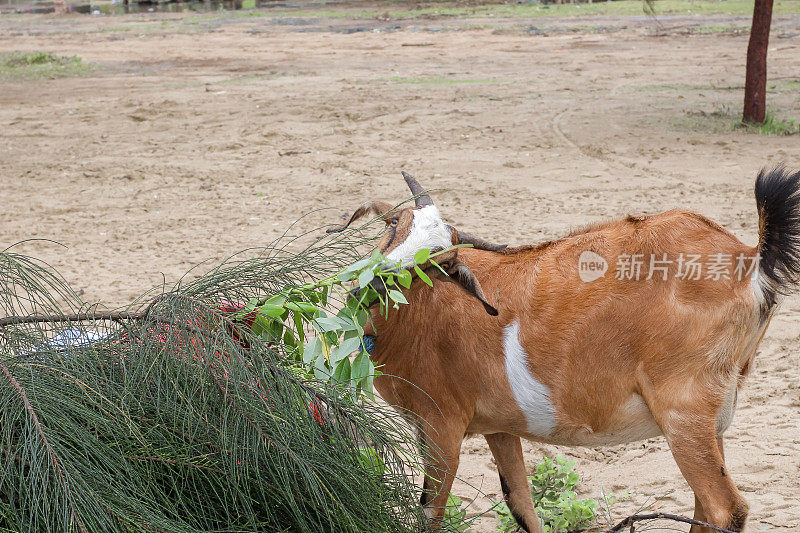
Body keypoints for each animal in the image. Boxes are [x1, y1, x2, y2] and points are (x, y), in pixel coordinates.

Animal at [326, 167, 800, 532]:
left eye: (437, 264)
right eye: (394, 224)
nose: (371, 285)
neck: (416, 318)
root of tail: (749, 259)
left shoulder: (442, 424)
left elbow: (430, 513)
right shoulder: (499, 426)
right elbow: (521, 504)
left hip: (684, 409)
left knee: (724, 508)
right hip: (712, 416)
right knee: (704, 505)